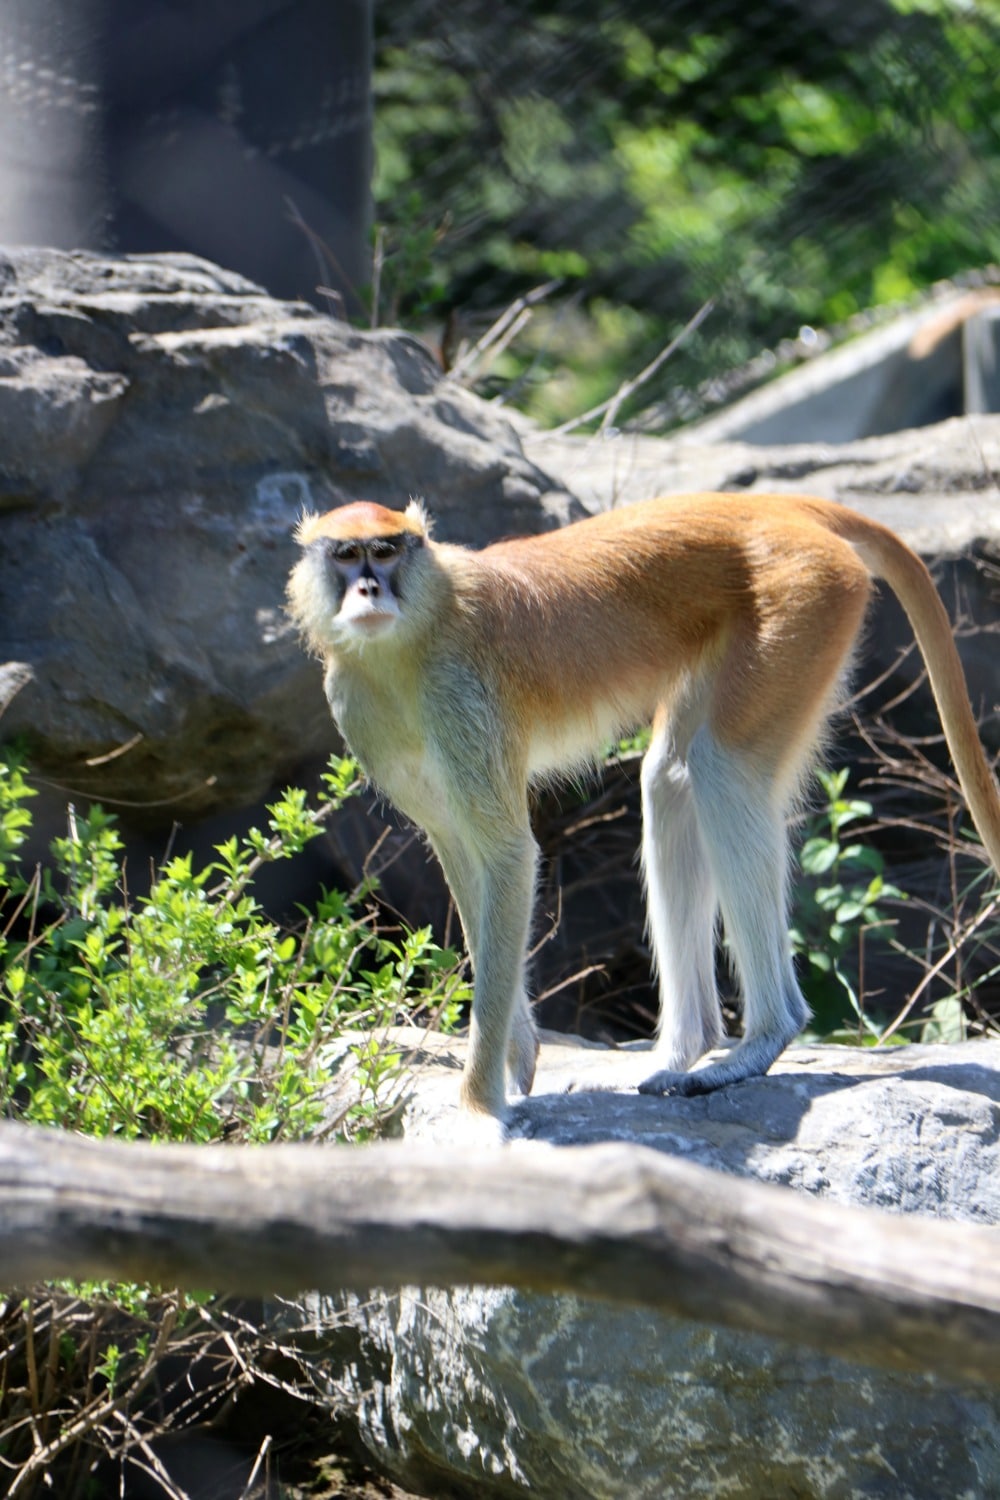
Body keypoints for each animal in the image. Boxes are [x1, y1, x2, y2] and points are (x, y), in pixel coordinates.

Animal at [287, 492, 1000, 1116]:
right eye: (346, 555)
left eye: (385, 551)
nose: (368, 590)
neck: (413, 635)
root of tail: (777, 505)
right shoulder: (358, 707)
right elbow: (464, 860)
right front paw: (518, 1057)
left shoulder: (458, 698)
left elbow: (509, 856)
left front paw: (482, 1105)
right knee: (670, 780)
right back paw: (687, 1048)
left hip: (802, 604)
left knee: (723, 771)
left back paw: (761, 1041)